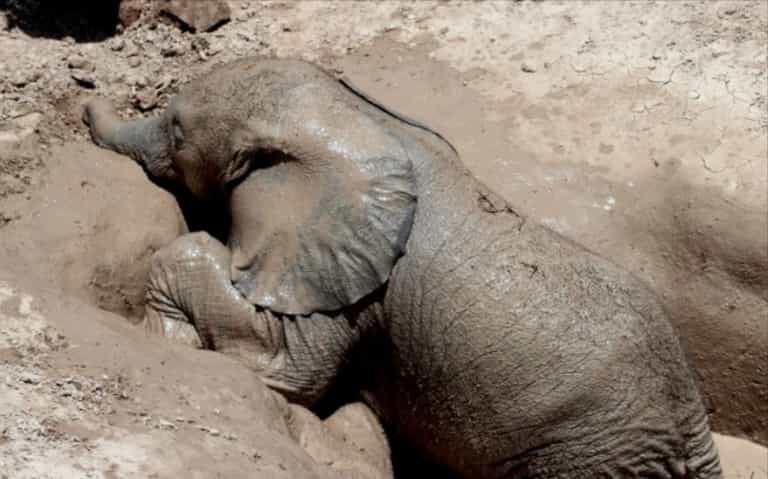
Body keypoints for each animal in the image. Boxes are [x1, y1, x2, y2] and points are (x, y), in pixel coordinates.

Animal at [82, 58, 723, 479]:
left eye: (177, 132)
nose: (84, 99)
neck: (358, 121)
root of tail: (693, 428)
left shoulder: (341, 279)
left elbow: (292, 367)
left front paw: (168, 332)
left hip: (581, 453)